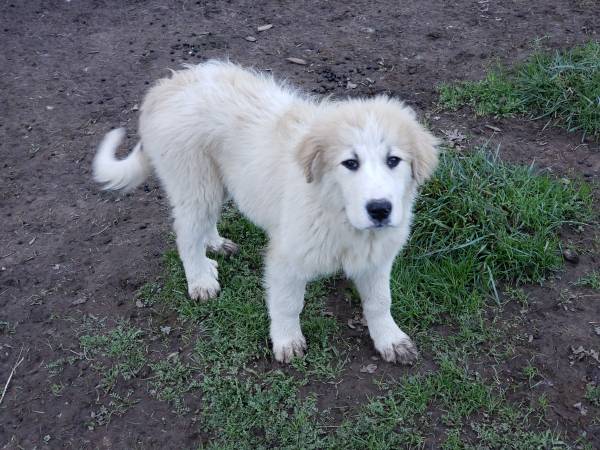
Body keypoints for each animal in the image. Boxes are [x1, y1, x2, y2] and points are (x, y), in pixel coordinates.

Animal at [95, 59, 440, 364]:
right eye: (350, 163)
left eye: (393, 160)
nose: (380, 209)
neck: (337, 211)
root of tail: (167, 84)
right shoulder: (287, 258)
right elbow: (288, 304)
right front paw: (287, 341)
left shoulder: (376, 257)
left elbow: (380, 301)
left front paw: (390, 340)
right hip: (195, 183)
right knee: (186, 234)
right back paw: (200, 279)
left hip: (218, 181)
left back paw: (215, 244)